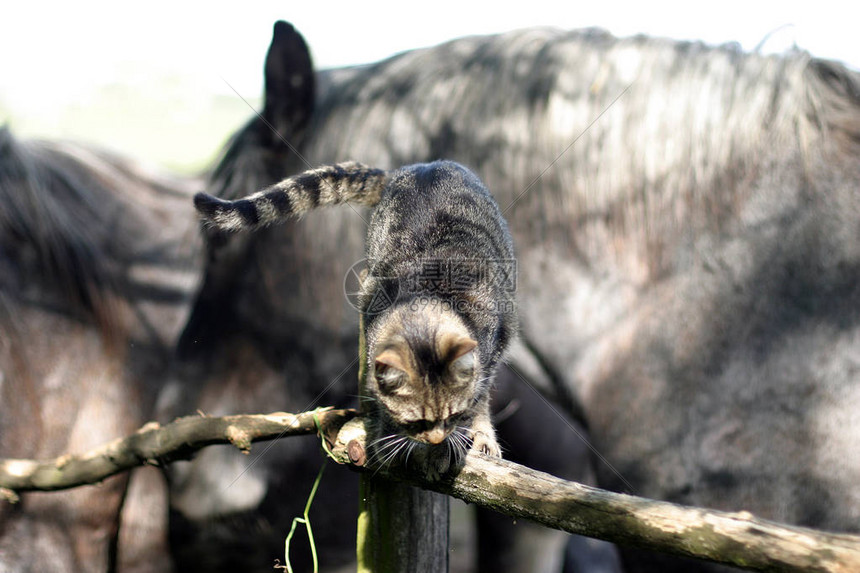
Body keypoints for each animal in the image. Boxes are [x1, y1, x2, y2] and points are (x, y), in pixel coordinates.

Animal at [193, 161, 516, 478]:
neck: (428, 297)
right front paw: (391, 433)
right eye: (415, 422)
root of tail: (420, 165)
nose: (436, 439)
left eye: (452, 415)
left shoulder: (495, 341)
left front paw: (458, 440)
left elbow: (479, 398)